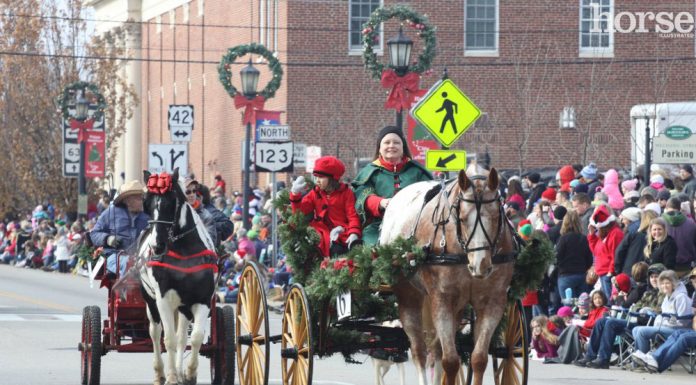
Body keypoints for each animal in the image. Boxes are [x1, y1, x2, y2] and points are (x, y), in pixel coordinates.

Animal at [139, 170, 218, 384]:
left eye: (170, 202)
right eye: (147, 204)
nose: (157, 245)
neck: (184, 252)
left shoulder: (202, 299)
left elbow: (196, 336)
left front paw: (189, 373)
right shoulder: (163, 299)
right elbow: (169, 339)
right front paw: (172, 376)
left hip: (183, 306)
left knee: (182, 336)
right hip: (151, 301)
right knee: (155, 333)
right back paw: (161, 373)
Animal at [378, 164, 520, 384]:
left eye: (497, 216)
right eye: (462, 218)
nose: (481, 265)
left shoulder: (493, 300)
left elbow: (478, 359)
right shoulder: (442, 298)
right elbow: (451, 361)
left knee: (436, 350)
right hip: (409, 296)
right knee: (419, 351)